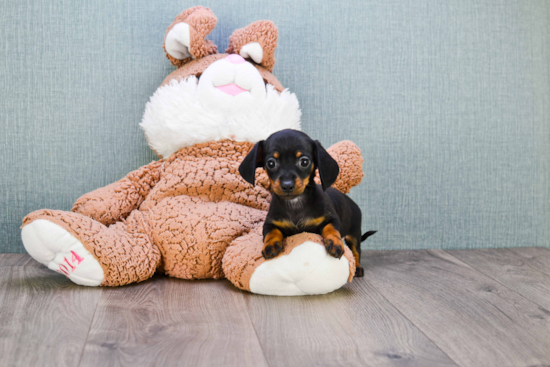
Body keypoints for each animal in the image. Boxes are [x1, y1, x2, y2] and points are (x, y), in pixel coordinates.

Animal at [239, 129, 378, 276]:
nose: (287, 186)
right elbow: (272, 233)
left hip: (355, 234)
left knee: (356, 252)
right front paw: (270, 244)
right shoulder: (270, 223)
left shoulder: (331, 219)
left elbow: (331, 229)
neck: (296, 203)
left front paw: (335, 241)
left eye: (304, 162)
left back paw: (358, 268)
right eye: (271, 163)